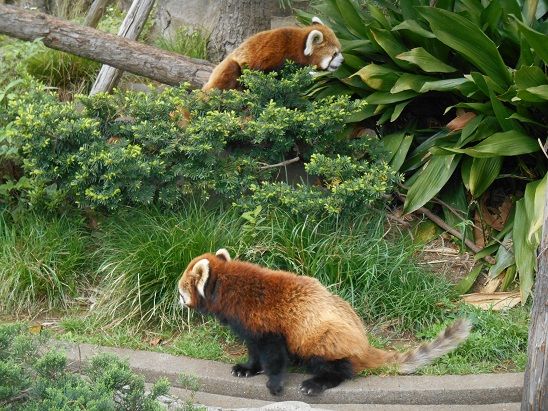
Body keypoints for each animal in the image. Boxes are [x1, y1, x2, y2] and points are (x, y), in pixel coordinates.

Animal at [179, 249, 470, 398]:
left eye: (180, 292)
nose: (178, 301)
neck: (229, 287)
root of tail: (364, 343)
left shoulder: (268, 325)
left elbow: (275, 356)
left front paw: (274, 383)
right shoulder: (249, 326)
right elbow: (254, 351)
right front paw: (248, 368)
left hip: (323, 338)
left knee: (337, 365)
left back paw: (318, 382)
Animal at [203, 17, 344, 91]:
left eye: (339, 52)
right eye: (334, 54)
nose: (342, 60)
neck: (297, 49)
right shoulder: (274, 54)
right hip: (229, 67)